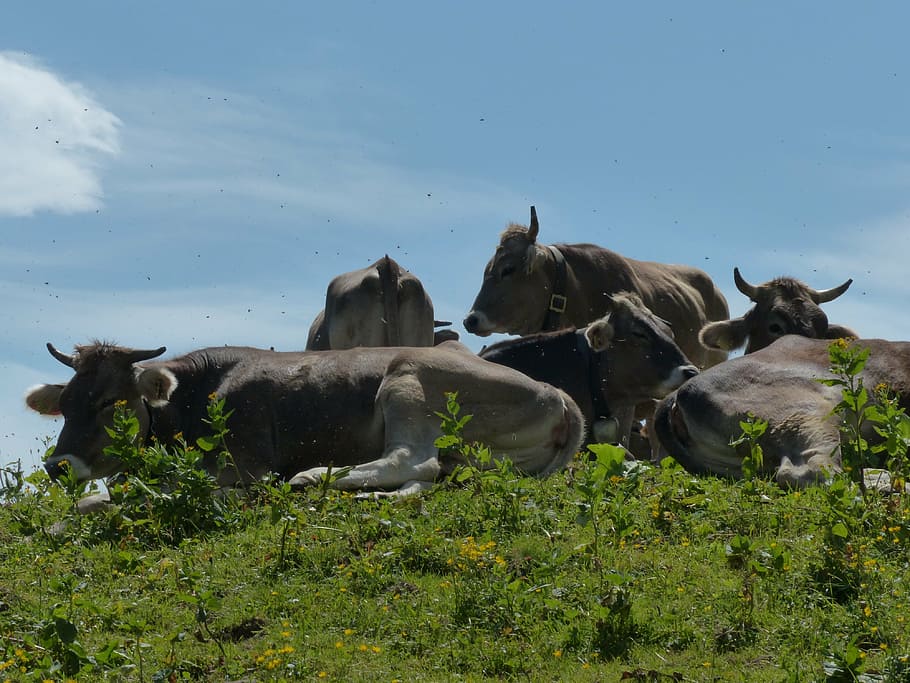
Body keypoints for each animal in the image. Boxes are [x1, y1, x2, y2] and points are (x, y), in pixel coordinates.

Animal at [25, 340, 584, 498]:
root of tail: (559, 394)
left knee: (412, 460)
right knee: (427, 474)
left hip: (407, 379)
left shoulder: (245, 465)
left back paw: (314, 476)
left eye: (109, 402)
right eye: (66, 404)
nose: (57, 466)